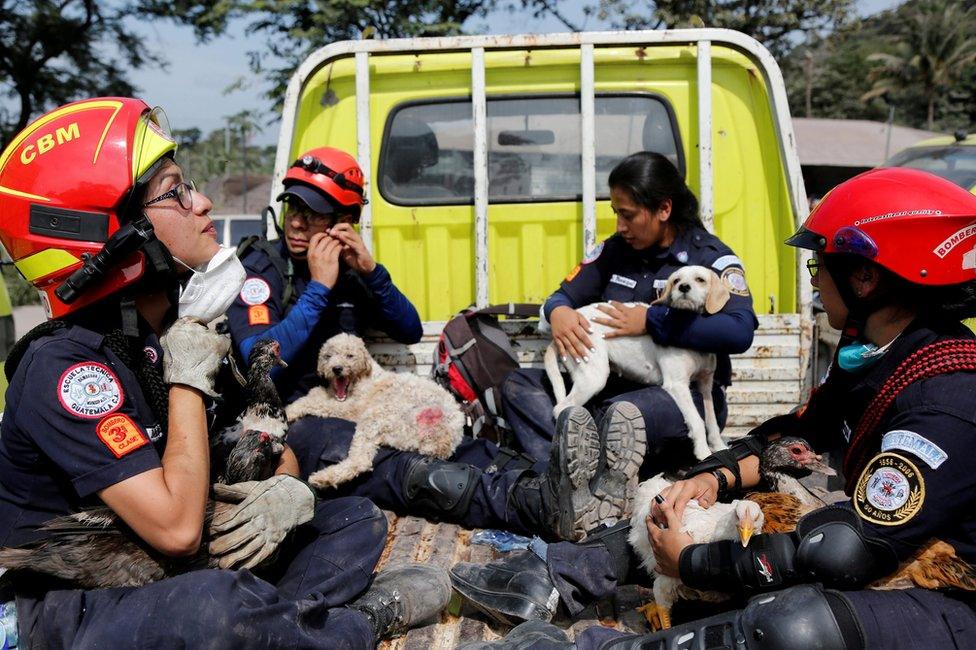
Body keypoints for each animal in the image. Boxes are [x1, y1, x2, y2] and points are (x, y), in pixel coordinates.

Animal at [286, 334, 466, 486]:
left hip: (379, 415)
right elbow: (318, 394)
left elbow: (317, 403)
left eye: (350, 356)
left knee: (361, 461)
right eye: (328, 356)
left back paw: (324, 478)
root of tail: (442, 443)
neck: (364, 376)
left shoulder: (354, 408)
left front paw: (289, 411)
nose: (336, 369)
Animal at [544, 260, 728, 458]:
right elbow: (697, 421)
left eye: (700, 279)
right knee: (560, 408)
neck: (688, 327)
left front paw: (719, 447)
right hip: (593, 377)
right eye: (676, 280)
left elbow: (711, 421)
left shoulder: (705, 384)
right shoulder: (677, 385)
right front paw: (704, 453)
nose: (683, 287)